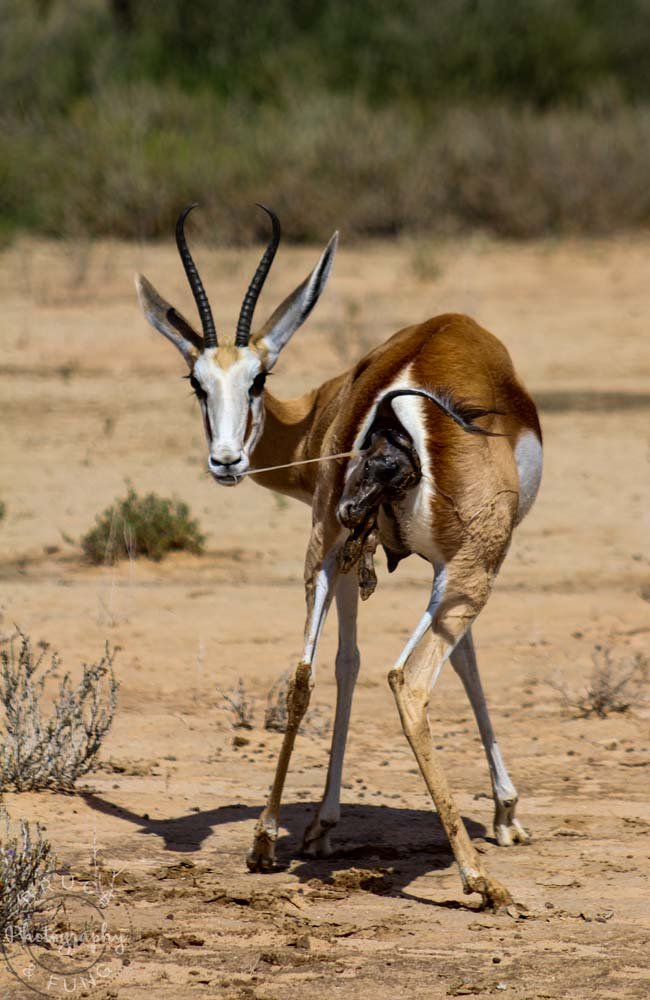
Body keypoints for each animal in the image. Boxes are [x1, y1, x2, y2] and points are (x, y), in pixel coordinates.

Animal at [137, 205, 540, 916]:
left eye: (256, 379)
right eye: (197, 383)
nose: (225, 460)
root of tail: (397, 405)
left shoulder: (356, 551)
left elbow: (340, 663)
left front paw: (316, 828)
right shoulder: (450, 565)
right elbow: (463, 662)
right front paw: (506, 813)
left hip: (325, 547)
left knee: (301, 676)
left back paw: (264, 843)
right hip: (469, 571)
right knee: (408, 680)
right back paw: (478, 880)